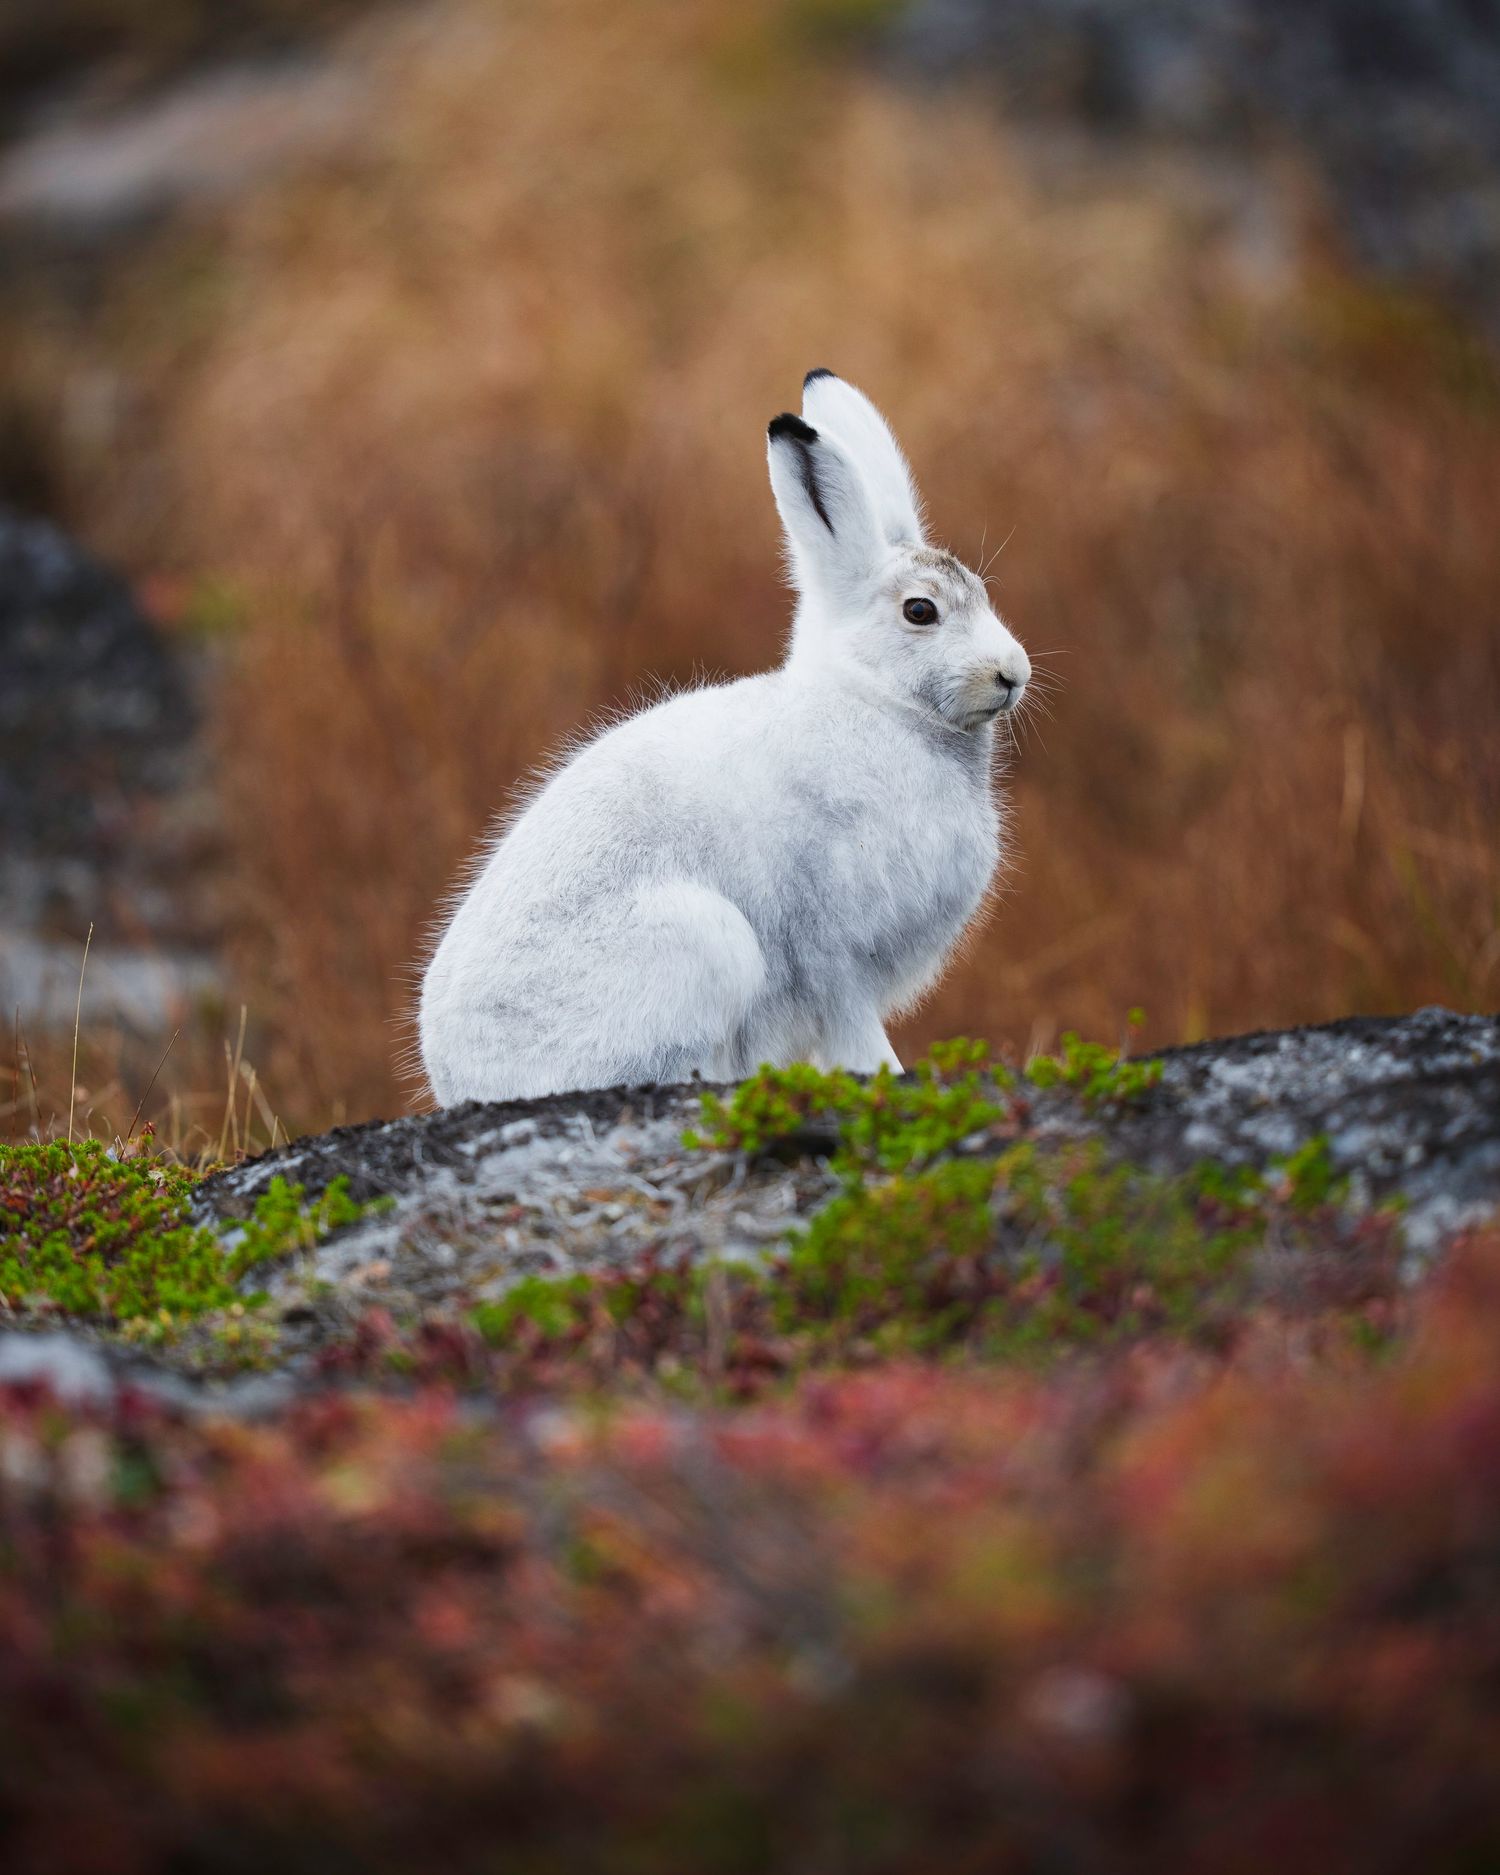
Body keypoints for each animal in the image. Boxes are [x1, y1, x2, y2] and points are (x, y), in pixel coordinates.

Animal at [418, 369, 1031, 1104]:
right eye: (921, 611)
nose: (1013, 673)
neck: (875, 700)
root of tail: (460, 1083)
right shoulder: (833, 945)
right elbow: (854, 1029)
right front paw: (887, 1076)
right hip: (706, 942)